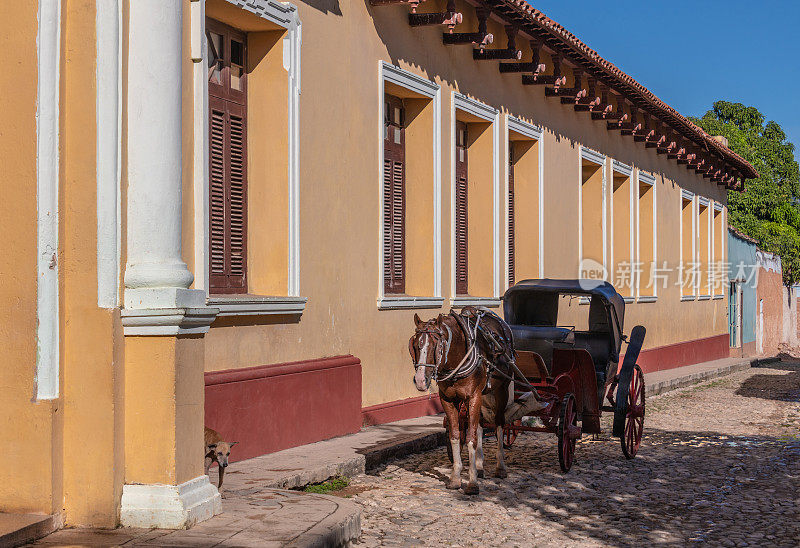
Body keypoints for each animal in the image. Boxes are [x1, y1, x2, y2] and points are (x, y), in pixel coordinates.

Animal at [412, 306, 520, 494]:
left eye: (436, 345)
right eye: (415, 345)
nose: (420, 380)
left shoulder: (473, 397)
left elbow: (471, 438)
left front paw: (472, 483)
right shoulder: (447, 399)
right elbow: (456, 435)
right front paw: (456, 478)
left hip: (501, 389)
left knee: (499, 424)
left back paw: (500, 467)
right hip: (483, 395)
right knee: (479, 426)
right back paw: (480, 466)